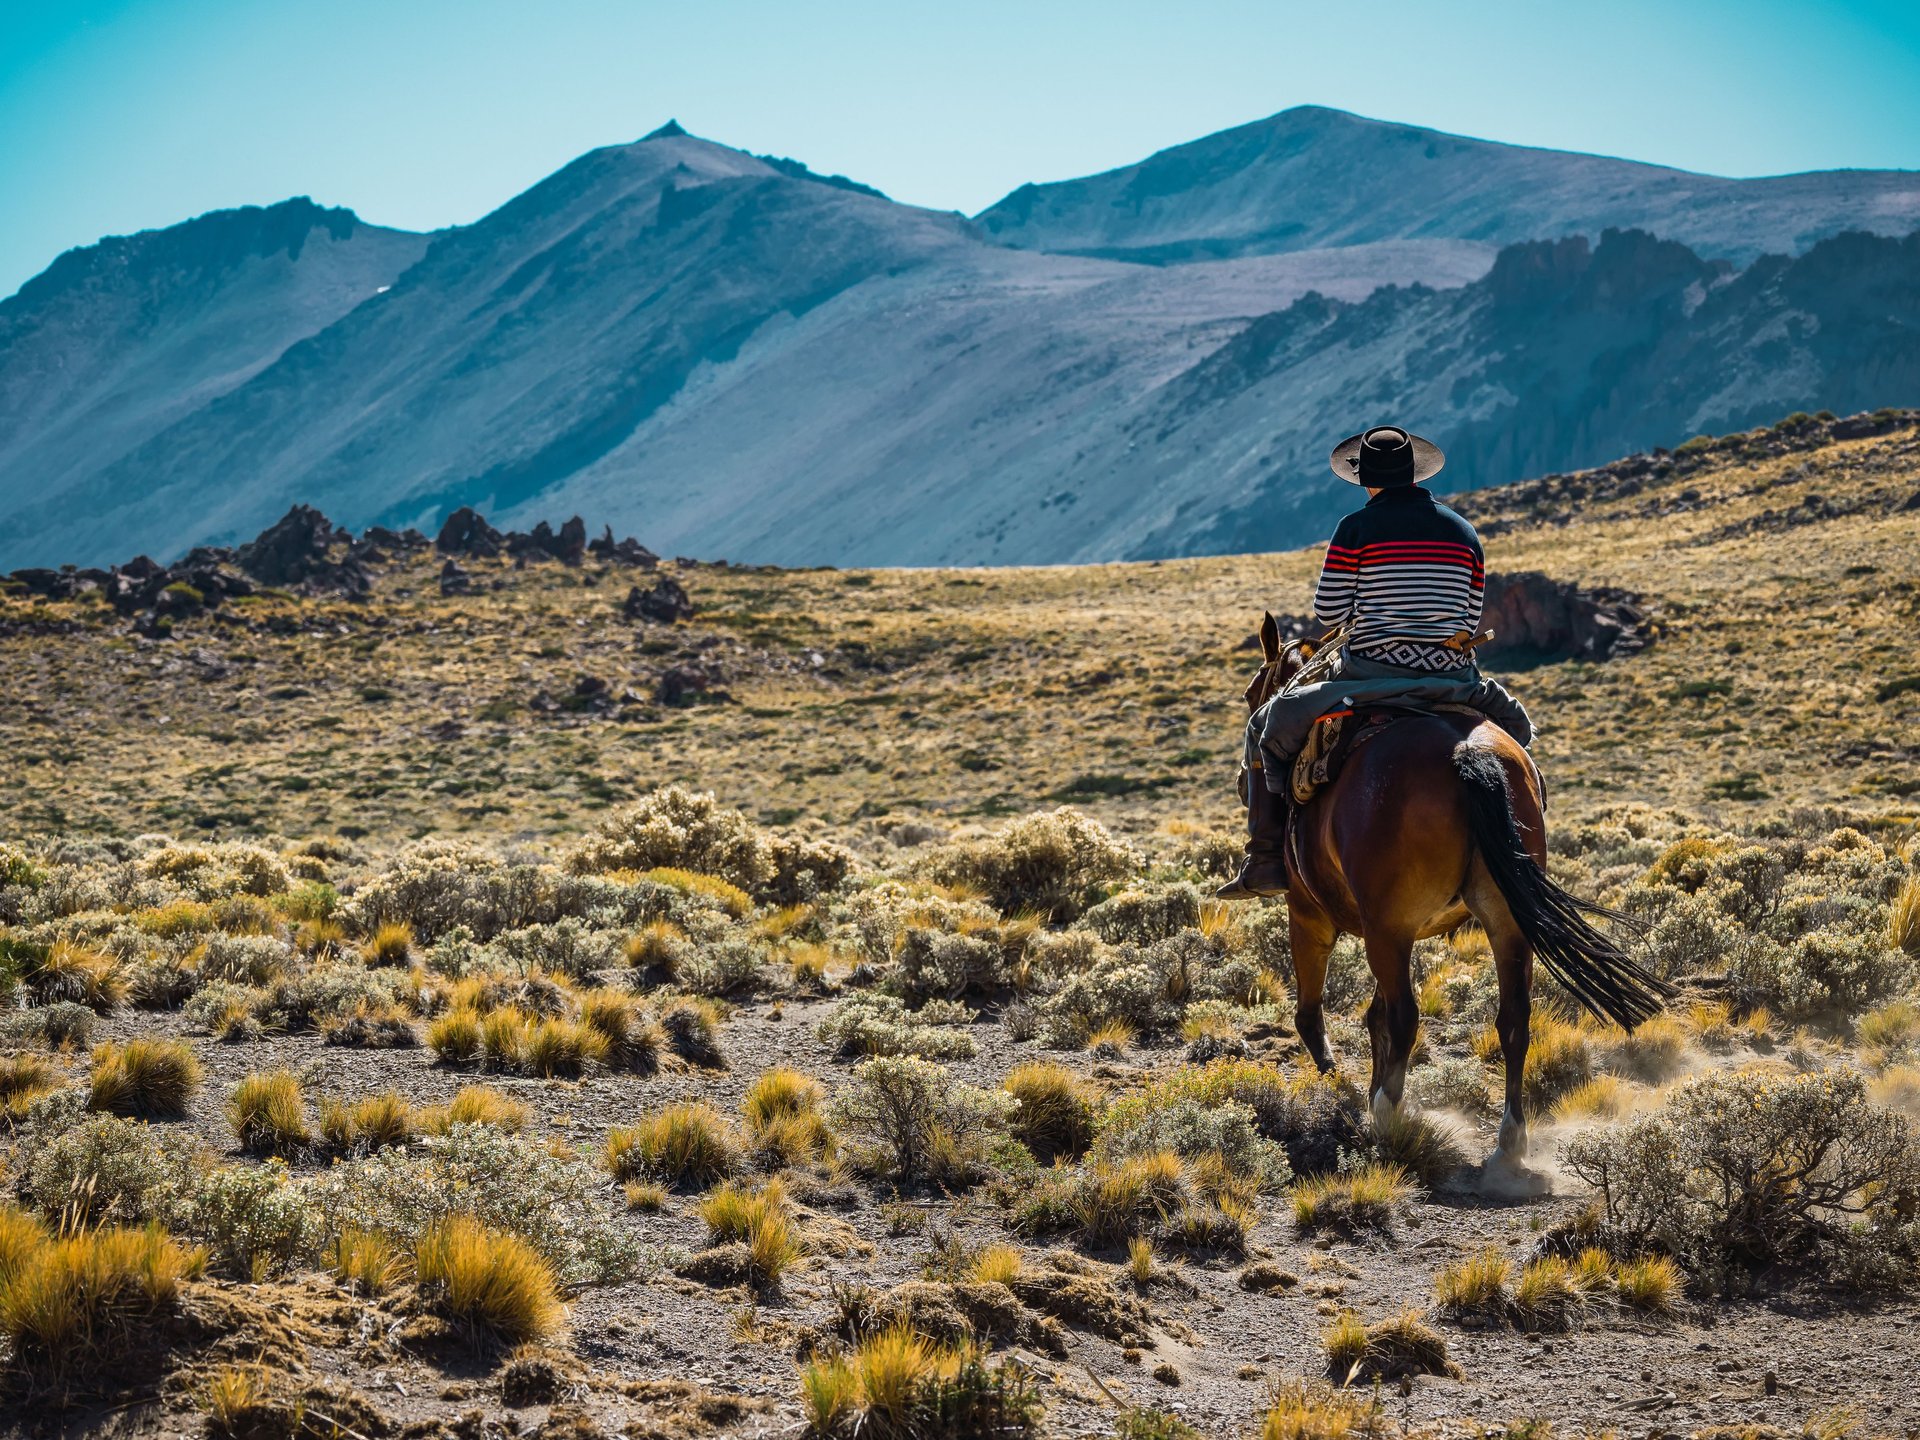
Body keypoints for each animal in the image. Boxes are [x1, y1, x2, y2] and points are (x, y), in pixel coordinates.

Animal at [1244, 614, 1666, 1167]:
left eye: (1252, 695)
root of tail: (1468, 753)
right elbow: (1372, 1017)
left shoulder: (1309, 913)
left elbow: (1314, 1015)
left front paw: (1344, 1086)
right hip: (1503, 923)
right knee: (1513, 1019)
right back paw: (1510, 1138)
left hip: (1387, 929)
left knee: (1404, 1017)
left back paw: (1388, 1114)